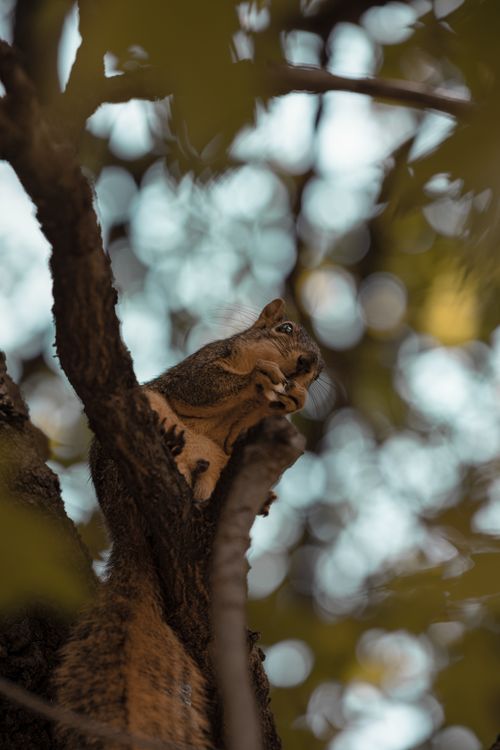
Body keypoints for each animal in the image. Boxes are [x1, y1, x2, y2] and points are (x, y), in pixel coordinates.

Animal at [53, 298, 323, 750]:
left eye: (318, 373)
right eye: (285, 329)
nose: (305, 364)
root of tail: (124, 531)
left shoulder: (236, 437)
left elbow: (240, 433)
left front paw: (294, 397)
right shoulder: (202, 364)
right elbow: (203, 386)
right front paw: (258, 376)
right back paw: (169, 440)